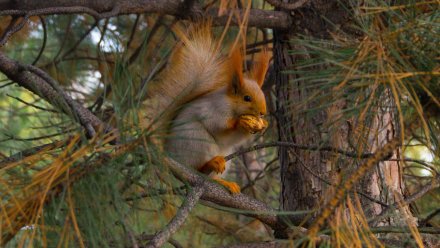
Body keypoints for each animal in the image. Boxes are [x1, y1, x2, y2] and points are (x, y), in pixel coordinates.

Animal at [143, 21, 270, 194]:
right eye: (247, 98)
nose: (263, 112)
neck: (233, 106)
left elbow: (234, 139)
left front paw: (264, 125)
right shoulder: (214, 109)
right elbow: (218, 127)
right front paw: (240, 123)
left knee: (210, 176)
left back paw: (224, 182)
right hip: (197, 141)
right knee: (198, 167)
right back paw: (210, 163)